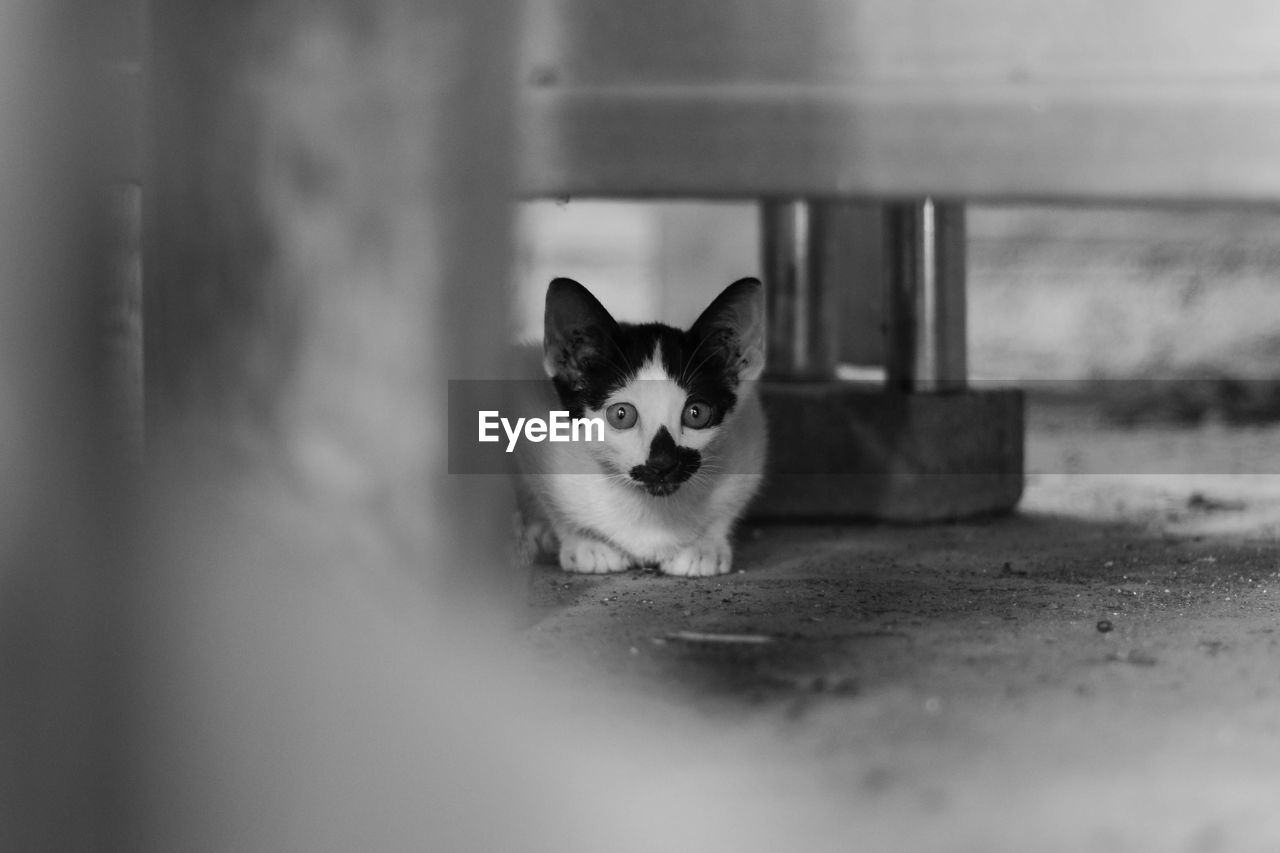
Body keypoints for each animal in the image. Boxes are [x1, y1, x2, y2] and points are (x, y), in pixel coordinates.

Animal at [514, 275, 762, 573]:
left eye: (696, 413)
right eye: (621, 415)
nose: (663, 462)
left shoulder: (750, 438)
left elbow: (728, 507)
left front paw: (705, 547)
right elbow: (549, 501)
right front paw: (586, 543)